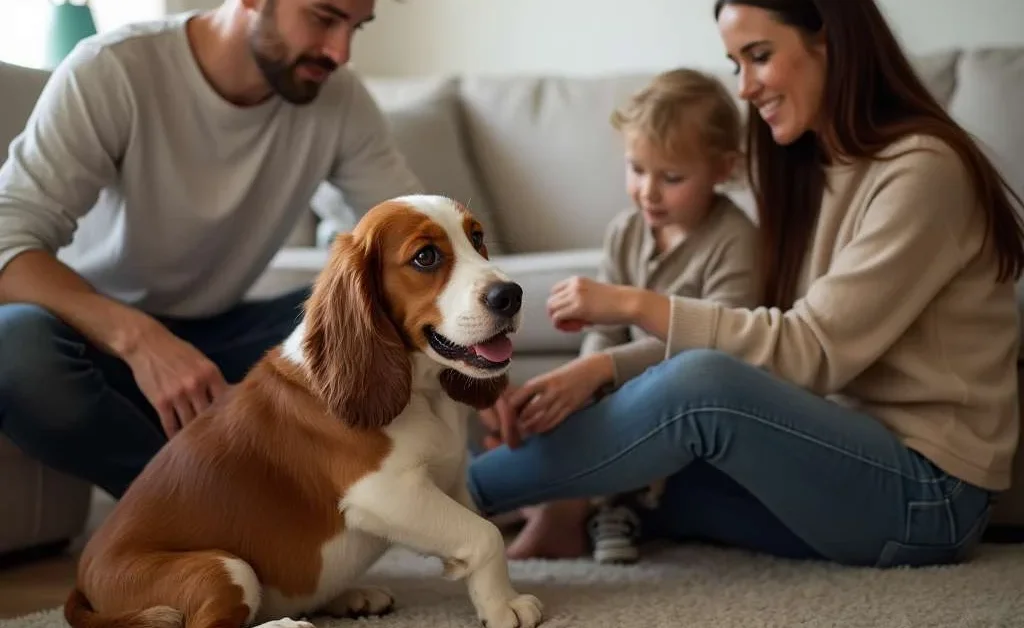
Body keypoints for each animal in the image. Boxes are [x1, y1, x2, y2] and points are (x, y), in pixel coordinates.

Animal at [64, 194, 544, 626]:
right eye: (425, 257)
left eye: (477, 238)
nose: (512, 295)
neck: (420, 389)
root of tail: (83, 583)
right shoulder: (383, 492)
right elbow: (486, 535)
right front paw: (503, 609)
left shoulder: (448, 476)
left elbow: (476, 528)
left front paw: (497, 600)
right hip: (223, 569)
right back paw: (287, 624)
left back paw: (350, 597)